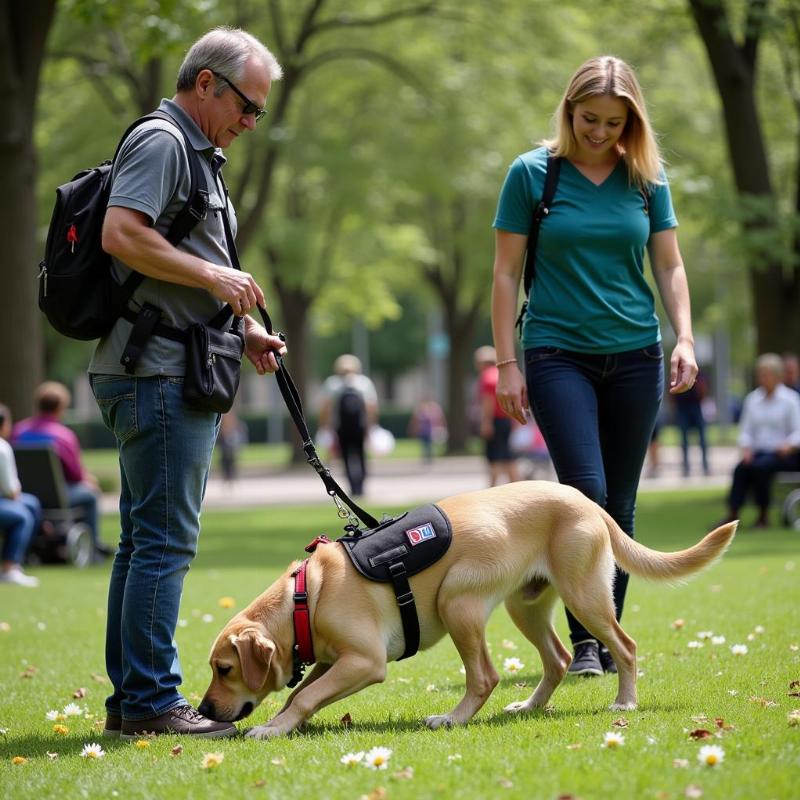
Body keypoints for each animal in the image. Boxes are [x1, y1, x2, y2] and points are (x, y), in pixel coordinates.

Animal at [200, 478, 736, 740]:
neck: (305, 599)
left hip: (475, 600)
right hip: (526, 605)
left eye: (224, 669)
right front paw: (283, 722)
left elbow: (305, 696)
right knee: (557, 659)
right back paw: (530, 706)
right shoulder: (335, 660)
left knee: (610, 649)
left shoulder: (365, 661)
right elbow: (300, 693)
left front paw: (273, 729)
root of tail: (585, 500)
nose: (203, 710)